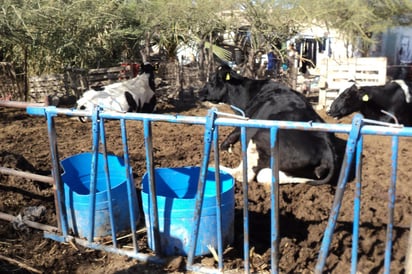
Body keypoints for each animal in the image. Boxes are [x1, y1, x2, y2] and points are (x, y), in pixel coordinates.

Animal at [200, 64, 344, 185]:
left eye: (212, 81)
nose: (199, 92)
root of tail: (326, 147)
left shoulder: (248, 118)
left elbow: (233, 132)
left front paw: (225, 148)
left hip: (258, 140)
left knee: (245, 175)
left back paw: (216, 166)